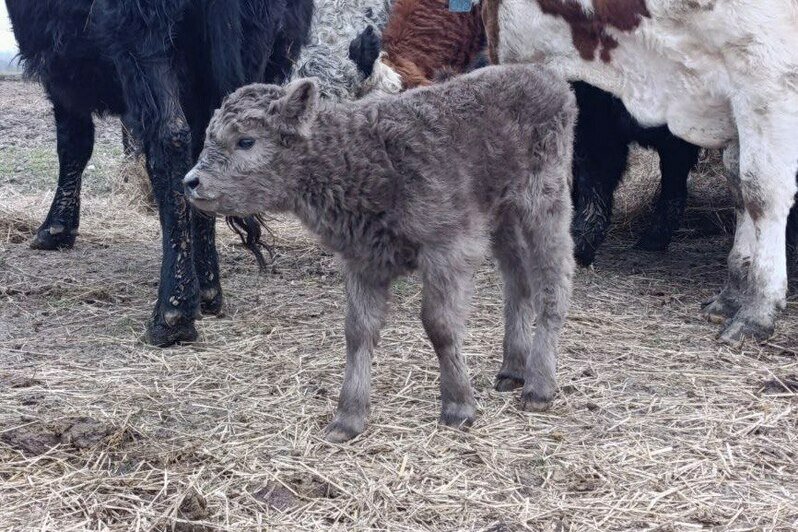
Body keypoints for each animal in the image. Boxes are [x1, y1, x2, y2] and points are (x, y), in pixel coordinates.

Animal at [6, 0, 314, 344]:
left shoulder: (60, 65)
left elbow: (73, 142)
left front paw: (56, 229)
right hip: (258, 45)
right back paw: (207, 289)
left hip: (143, 35)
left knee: (171, 139)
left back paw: (173, 310)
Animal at [185, 64, 580, 442]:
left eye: (246, 141)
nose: (190, 181)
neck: (364, 155)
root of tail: (548, 76)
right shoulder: (363, 261)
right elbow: (358, 332)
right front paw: (348, 417)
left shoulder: (448, 248)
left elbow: (440, 325)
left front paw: (458, 406)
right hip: (504, 217)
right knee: (518, 280)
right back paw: (513, 369)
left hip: (544, 201)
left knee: (553, 280)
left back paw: (539, 386)